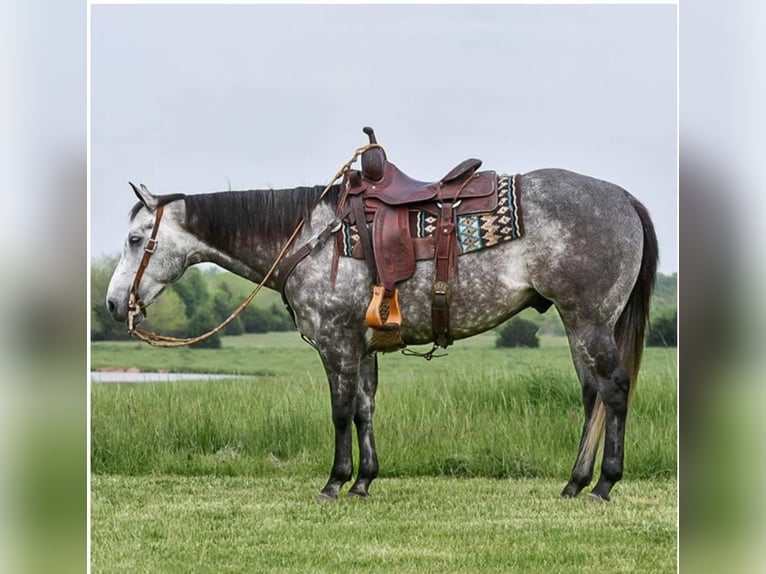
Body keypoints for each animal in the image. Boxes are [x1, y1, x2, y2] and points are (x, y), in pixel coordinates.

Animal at [105, 161, 660, 500]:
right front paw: (364, 481)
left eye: (134, 239)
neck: (311, 237)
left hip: (589, 320)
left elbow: (339, 411)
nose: (112, 303)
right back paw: (575, 482)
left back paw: (604, 484)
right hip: (579, 323)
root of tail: (623, 198)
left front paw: (335, 482)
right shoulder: (363, 347)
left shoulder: (335, 344)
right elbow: (364, 409)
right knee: (591, 394)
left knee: (614, 389)